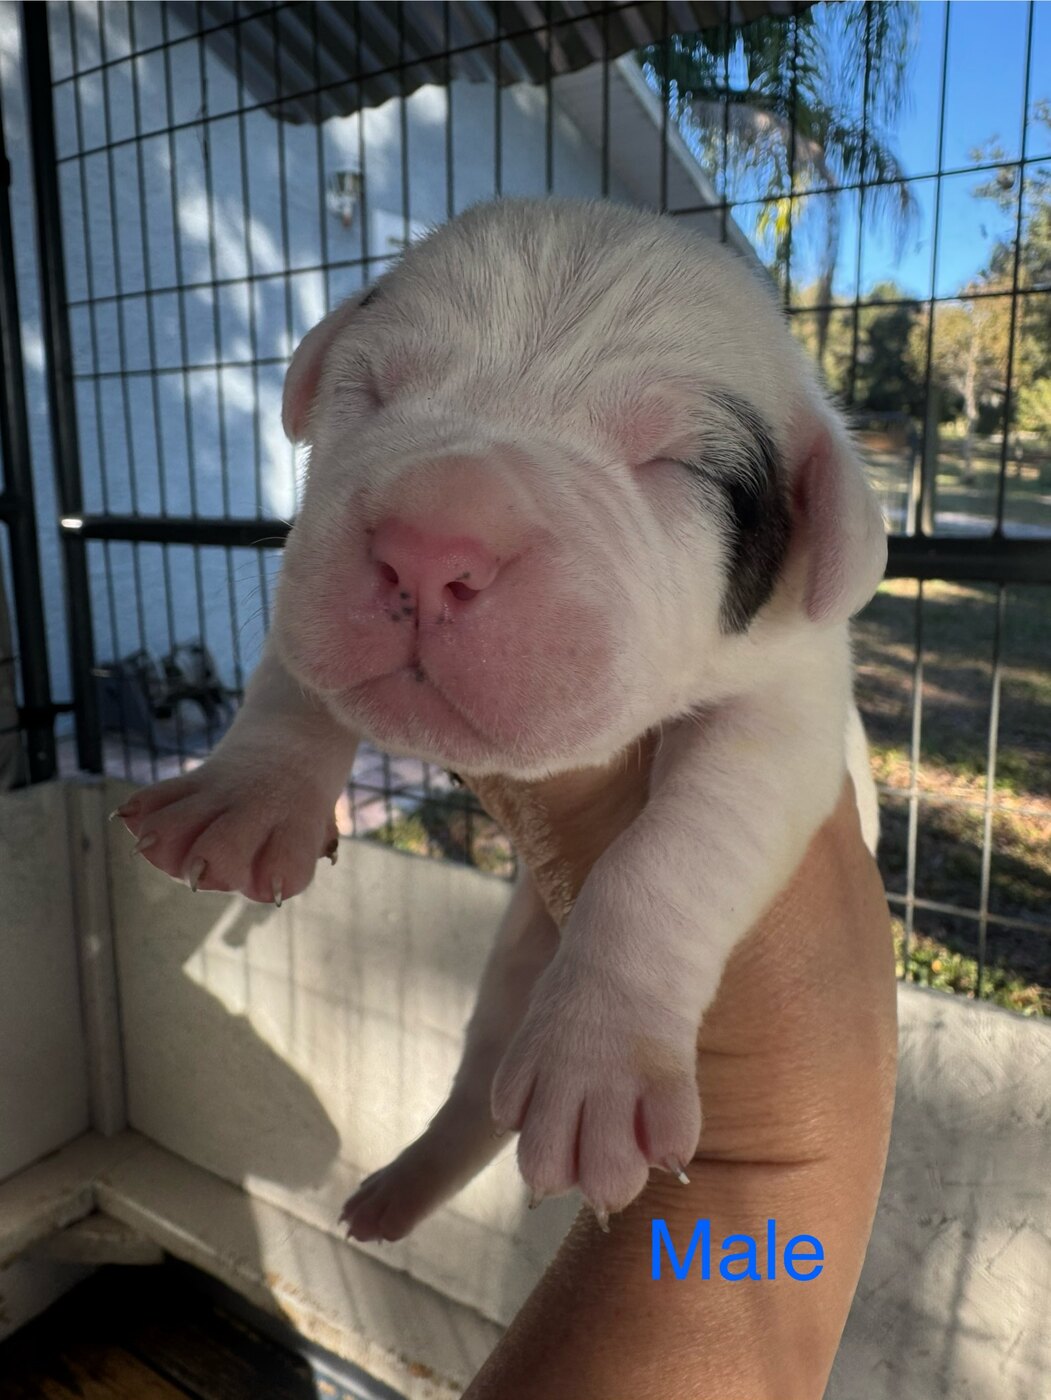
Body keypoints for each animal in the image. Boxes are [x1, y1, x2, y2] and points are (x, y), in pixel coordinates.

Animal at [119, 197, 886, 1235]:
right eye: (374, 389)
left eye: (673, 463)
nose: (428, 542)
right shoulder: (305, 581)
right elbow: (296, 677)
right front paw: (241, 804)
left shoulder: (785, 710)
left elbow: (676, 848)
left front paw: (599, 1064)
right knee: (477, 1090)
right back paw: (396, 1193)